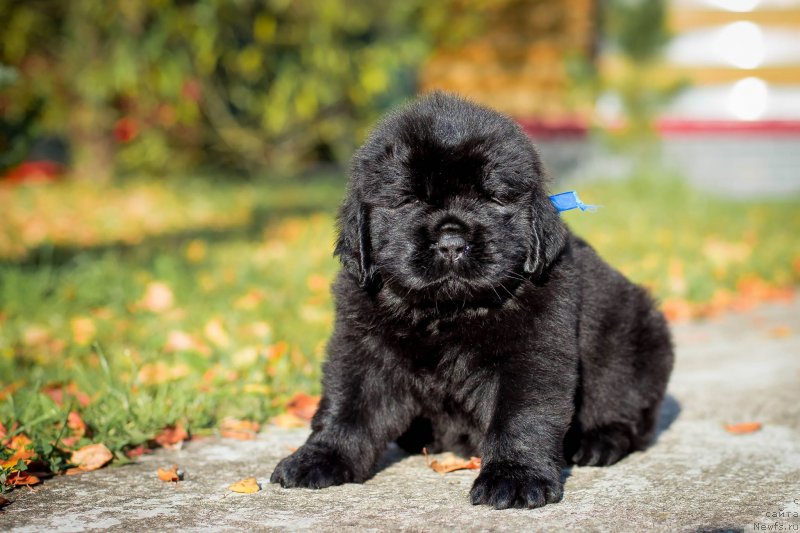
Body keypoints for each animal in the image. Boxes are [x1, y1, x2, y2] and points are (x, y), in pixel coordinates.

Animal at [270, 91, 676, 508]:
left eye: (492, 199)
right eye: (408, 200)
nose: (452, 243)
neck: (444, 310)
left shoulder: (532, 351)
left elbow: (521, 415)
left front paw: (514, 477)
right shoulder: (362, 345)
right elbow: (347, 403)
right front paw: (320, 457)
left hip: (636, 341)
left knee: (629, 411)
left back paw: (598, 442)